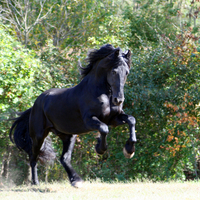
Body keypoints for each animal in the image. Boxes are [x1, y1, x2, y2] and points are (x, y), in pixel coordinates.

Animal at [10, 43, 137, 188]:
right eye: (114, 71)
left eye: (126, 72)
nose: (118, 100)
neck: (100, 92)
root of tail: (36, 104)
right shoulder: (90, 120)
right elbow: (104, 129)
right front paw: (99, 148)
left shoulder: (113, 119)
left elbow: (131, 120)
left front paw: (129, 150)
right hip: (38, 136)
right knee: (33, 158)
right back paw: (35, 183)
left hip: (68, 136)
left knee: (64, 159)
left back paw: (76, 181)